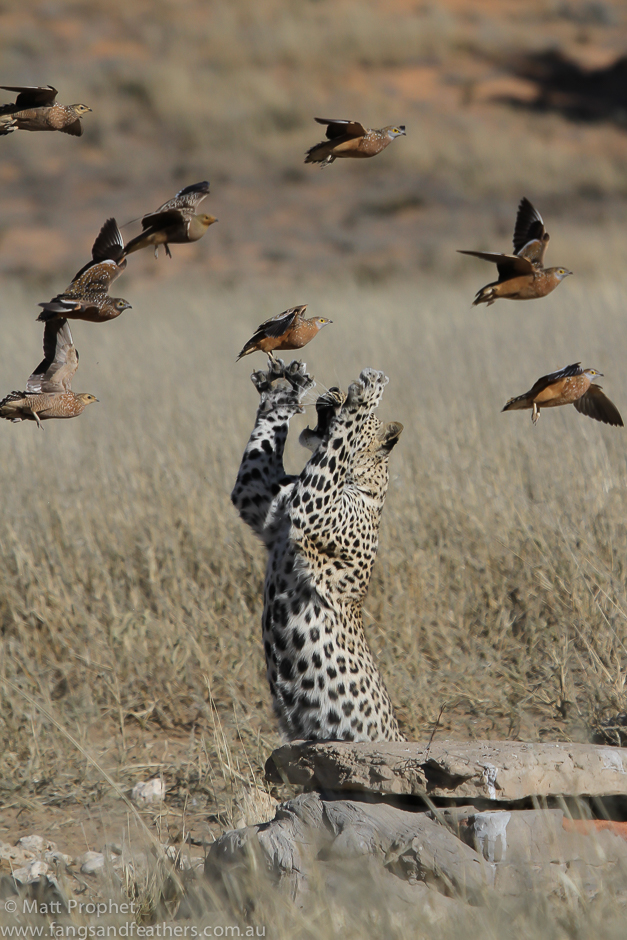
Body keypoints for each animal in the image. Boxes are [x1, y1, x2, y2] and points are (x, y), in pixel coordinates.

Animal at [231, 358, 405, 743]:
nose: (335, 391)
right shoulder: (257, 498)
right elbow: (262, 449)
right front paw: (283, 390)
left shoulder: (312, 505)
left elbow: (341, 437)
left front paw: (367, 392)